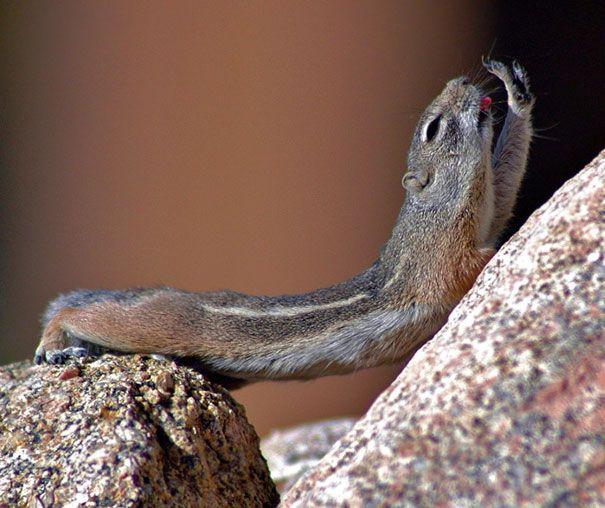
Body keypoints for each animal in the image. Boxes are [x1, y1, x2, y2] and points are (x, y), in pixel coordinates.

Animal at [34, 59, 532, 388]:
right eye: (434, 128)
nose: (463, 80)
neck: (438, 209)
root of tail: (162, 293)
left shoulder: (489, 210)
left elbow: (507, 190)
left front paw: (517, 94)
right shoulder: (443, 259)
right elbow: (473, 265)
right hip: (157, 325)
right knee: (82, 314)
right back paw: (55, 344)